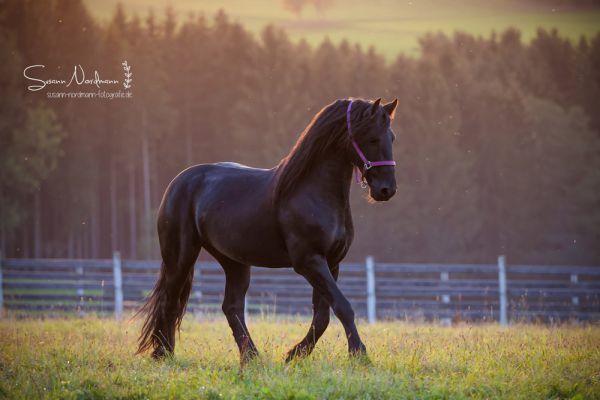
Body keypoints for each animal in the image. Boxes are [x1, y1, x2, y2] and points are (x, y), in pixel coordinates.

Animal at [138, 97, 396, 362]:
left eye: (392, 138)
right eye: (371, 137)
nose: (386, 189)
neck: (311, 192)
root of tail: (178, 182)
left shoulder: (331, 263)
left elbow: (323, 316)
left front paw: (294, 354)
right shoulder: (309, 261)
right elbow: (343, 307)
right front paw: (359, 354)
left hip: (234, 262)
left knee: (231, 307)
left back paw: (251, 357)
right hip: (181, 256)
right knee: (169, 301)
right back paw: (164, 353)